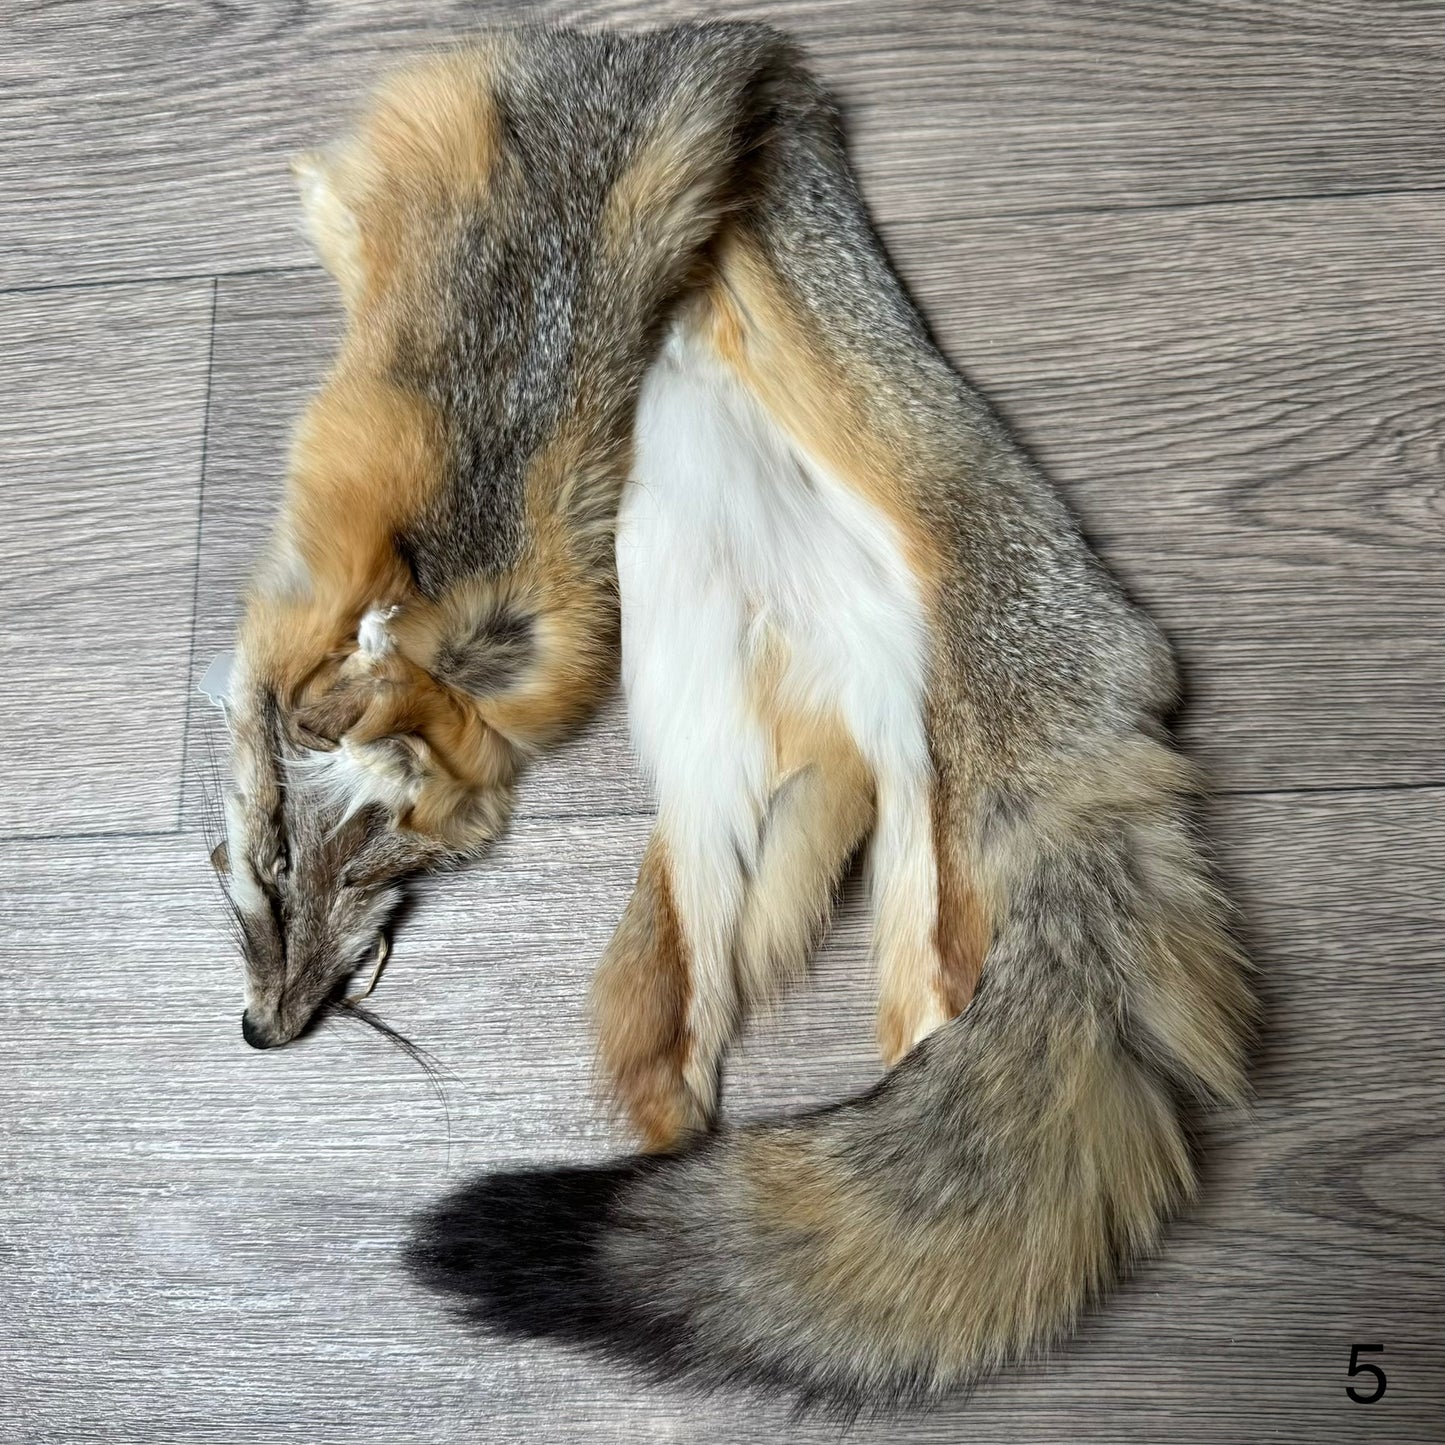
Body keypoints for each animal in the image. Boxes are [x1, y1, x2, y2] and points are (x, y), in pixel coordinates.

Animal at [216, 22, 1254, 1410]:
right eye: (281, 873)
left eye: (348, 881)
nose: (262, 1033)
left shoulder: (669, 95)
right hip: (727, 811)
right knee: (765, 1030)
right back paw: (690, 1135)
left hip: (915, 777)